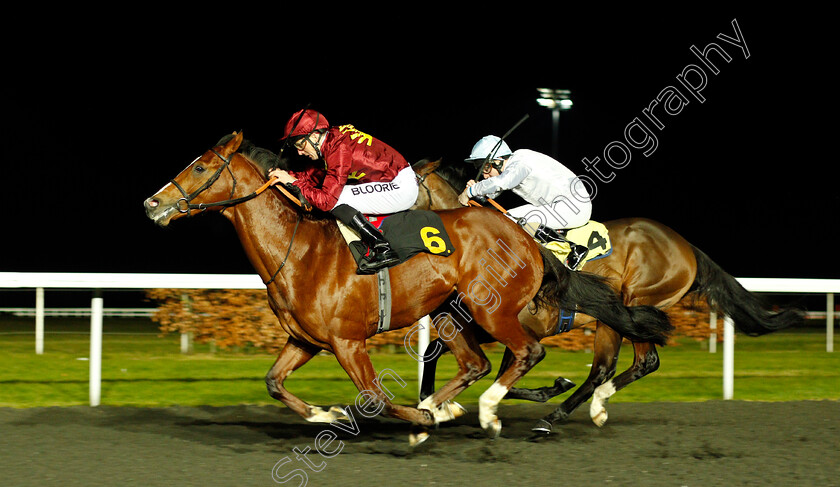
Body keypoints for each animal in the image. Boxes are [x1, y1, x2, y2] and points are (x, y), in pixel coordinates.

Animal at [141, 132, 672, 440]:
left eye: (201, 167)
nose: (152, 204)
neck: (301, 249)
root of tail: (523, 235)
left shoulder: (347, 341)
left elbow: (375, 398)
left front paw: (418, 422)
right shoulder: (305, 340)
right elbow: (274, 382)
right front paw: (328, 415)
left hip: (492, 310)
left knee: (530, 354)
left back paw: (494, 411)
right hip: (450, 313)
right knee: (479, 363)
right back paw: (459, 406)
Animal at [416, 165, 804, 434]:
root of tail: (686, 246)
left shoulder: (525, 328)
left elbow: (507, 377)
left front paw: (548, 389)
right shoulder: (484, 326)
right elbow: (434, 350)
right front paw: (436, 406)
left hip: (633, 304)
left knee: (629, 364)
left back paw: (565, 413)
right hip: (617, 316)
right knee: (617, 367)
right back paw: (580, 408)